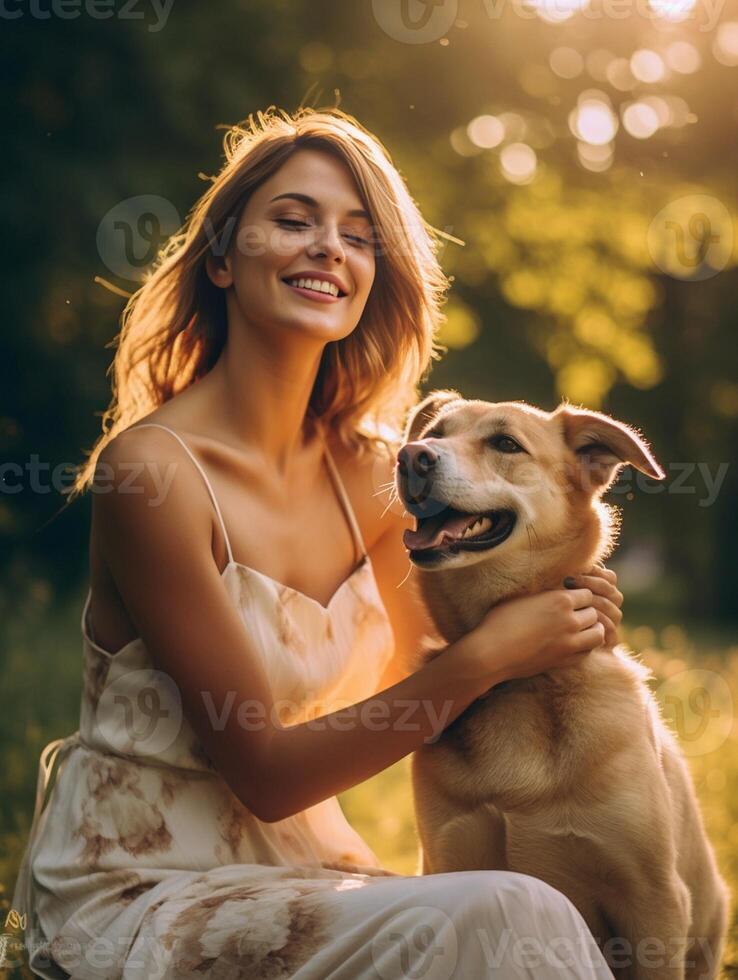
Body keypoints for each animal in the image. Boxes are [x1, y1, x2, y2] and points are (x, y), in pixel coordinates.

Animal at [394, 390, 728, 980]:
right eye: (434, 433)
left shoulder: (655, 903)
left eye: (506, 443)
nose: (412, 456)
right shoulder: (448, 865)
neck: (522, 683)